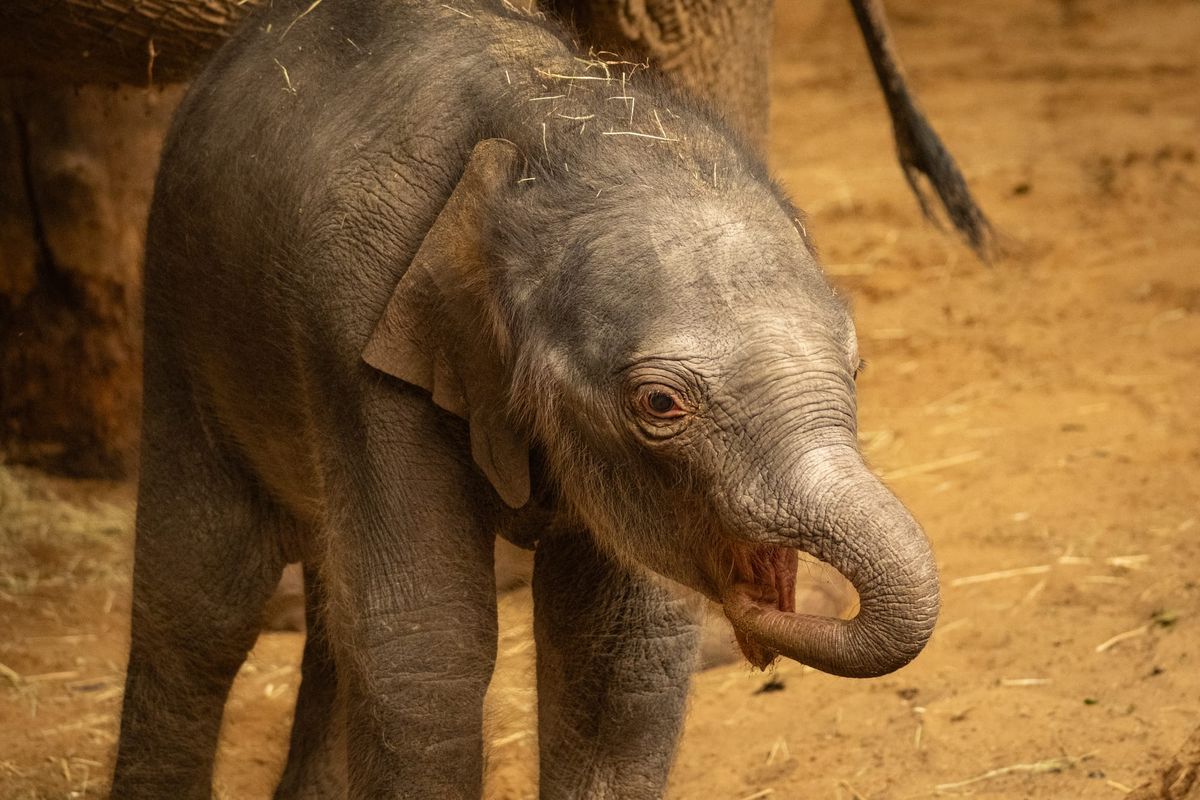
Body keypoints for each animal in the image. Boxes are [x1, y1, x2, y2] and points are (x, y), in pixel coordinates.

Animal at [112, 1, 940, 797]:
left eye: (856, 365)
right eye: (660, 404)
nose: (765, 612)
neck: (556, 120)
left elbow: (617, 647)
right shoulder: (355, 331)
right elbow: (425, 644)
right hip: (182, 307)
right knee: (203, 602)